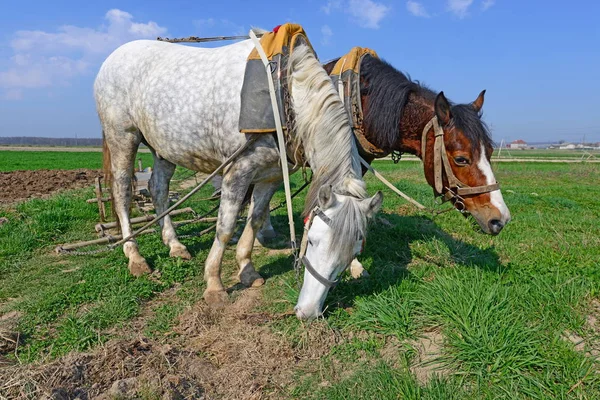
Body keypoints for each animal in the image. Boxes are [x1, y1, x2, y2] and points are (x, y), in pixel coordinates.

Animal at [96, 38, 382, 318]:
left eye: (355, 252)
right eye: (312, 240)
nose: (309, 311)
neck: (281, 95)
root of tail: (112, 58)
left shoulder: (270, 176)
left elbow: (254, 221)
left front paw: (247, 270)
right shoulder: (238, 171)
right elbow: (225, 228)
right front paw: (214, 285)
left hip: (163, 149)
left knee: (158, 189)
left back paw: (175, 245)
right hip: (123, 138)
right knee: (122, 192)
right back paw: (134, 256)